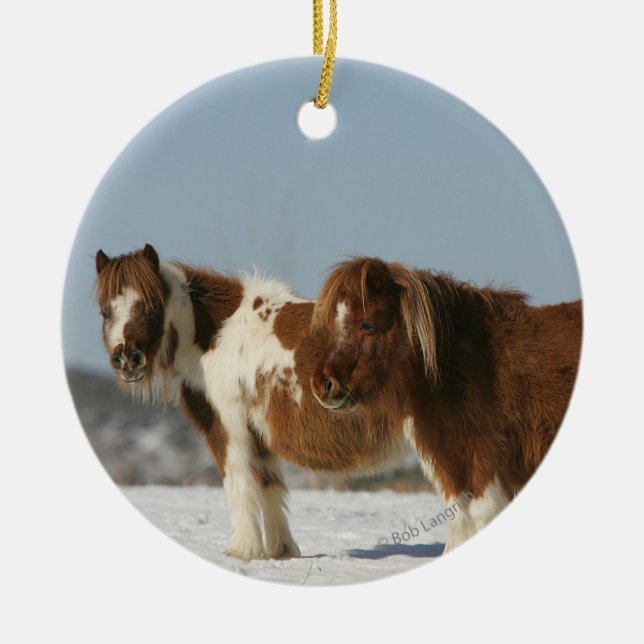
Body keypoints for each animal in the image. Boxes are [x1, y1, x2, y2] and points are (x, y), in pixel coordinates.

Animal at [94, 244, 409, 561]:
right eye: (105, 311)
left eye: (151, 307)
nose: (127, 359)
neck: (217, 335)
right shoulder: (257, 434)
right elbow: (268, 484)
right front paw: (280, 550)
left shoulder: (229, 427)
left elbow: (239, 481)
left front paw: (242, 550)